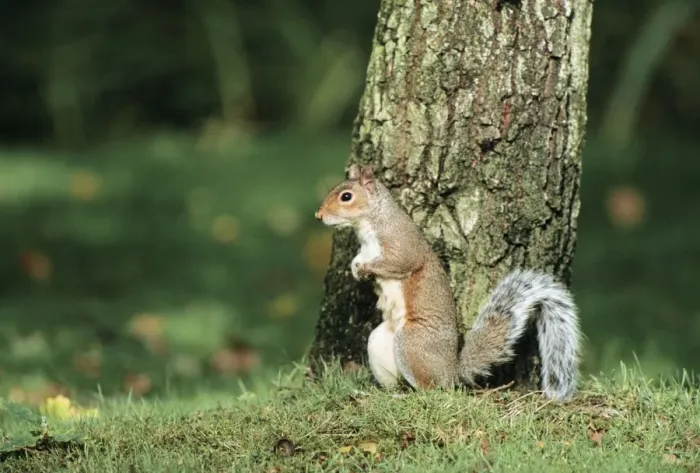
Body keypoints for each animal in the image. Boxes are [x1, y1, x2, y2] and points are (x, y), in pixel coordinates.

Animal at [314, 164, 582, 401]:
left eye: (346, 197)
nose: (319, 215)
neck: (372, 221)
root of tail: (451, 372)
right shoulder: (365, 249)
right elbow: (358, 259)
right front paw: (356, 269)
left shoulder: (401, 244)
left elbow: (399, 262)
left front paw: (367, 269)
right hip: (379, 343)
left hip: (411, 343)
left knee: (433, 390)